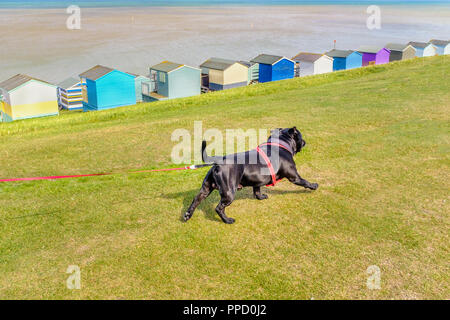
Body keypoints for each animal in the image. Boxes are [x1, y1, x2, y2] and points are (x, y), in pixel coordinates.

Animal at [181, 126, 318, 224]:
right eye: (300, 136)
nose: (305, 141)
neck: (280, 143)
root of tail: (219, 160)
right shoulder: (294, 177)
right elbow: (305, 182)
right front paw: (314, 186)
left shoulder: (257, 180)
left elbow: (257, 190)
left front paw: (261, 197)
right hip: (229, 192)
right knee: (219, 208)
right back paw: (228, 220)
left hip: (206, 188)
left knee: (196, 199)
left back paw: (187, 215)